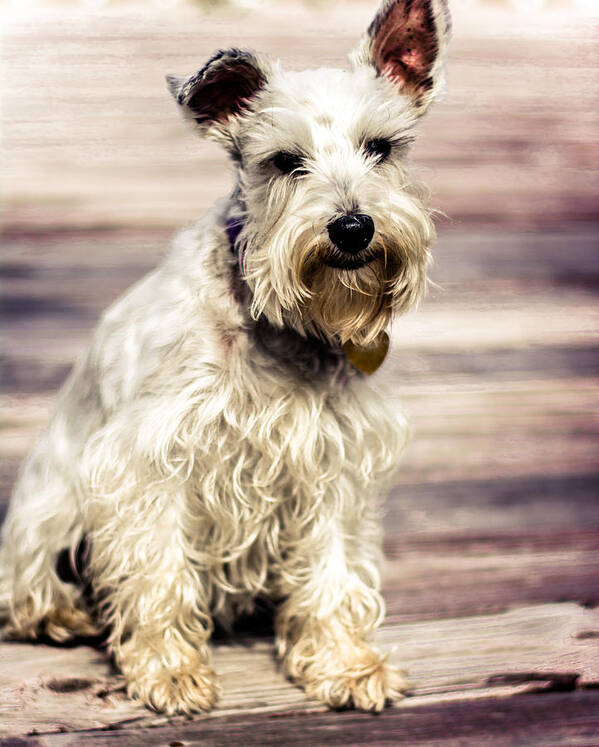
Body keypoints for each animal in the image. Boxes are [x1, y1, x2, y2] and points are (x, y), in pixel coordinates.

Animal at [0, 0, 450, 716]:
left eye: (382, 147)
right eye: (285, 161)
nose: (353, 227)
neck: (283, 322)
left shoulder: (333, 462)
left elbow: (333, 568)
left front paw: (344, 663)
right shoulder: (148, 460)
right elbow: (157, 571)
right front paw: (169, 669)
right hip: (50, 507)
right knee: (29, 587)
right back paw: (64, 615)